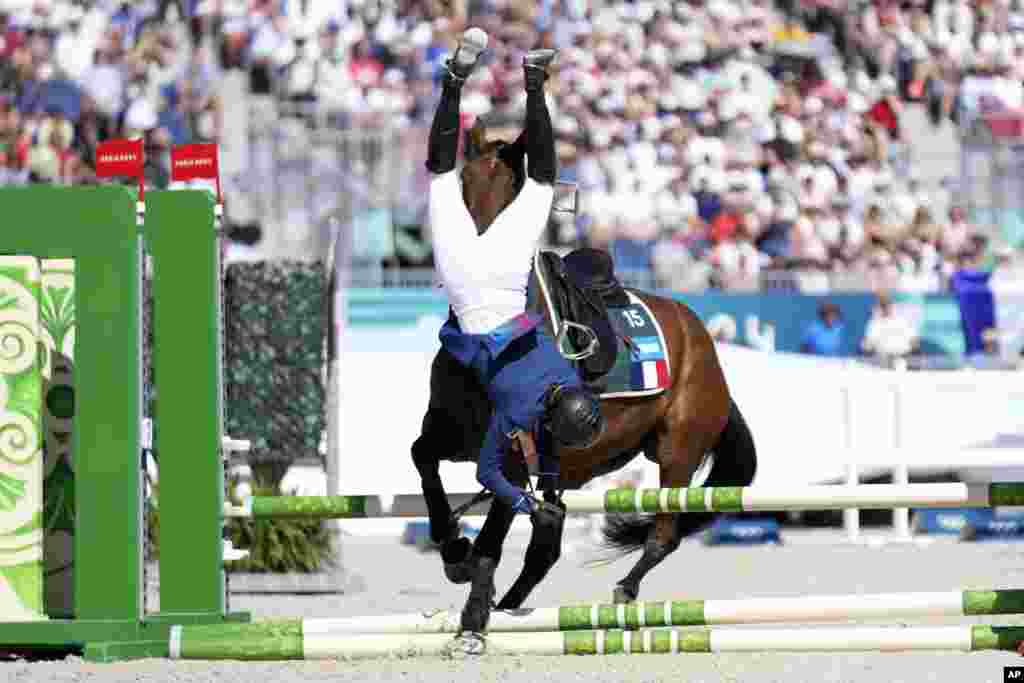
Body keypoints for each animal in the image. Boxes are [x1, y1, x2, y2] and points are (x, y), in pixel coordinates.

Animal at [409, 121, 761, 643]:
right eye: (463, 184)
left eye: (514, 194)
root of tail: (704, 343)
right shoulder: (450, 433)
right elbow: (424, 462)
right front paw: (453, 550)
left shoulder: (514, 455)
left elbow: (493, 535)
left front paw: (473, 611)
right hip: (583, 461)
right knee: (546, 545)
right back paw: (512, 604)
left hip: (677, 451)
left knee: (662, 534)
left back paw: (623, 592)